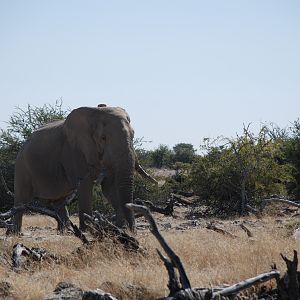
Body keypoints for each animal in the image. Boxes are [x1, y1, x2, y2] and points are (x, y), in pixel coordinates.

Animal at [6, 105, 155, 234]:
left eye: (133, 135)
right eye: (103, 138)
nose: (132, 231)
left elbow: (109, 188)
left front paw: (120, 229)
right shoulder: (75, 151)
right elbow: (85, 185)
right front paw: (88, 230)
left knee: (59, 201)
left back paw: (65, 232)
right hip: (22, 165)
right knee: (21, 200)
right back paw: (15, 233)